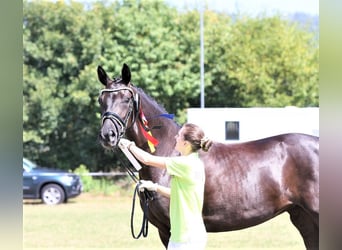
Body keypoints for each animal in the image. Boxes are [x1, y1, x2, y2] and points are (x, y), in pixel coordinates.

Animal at [95, 63, 318, 249]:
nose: (108, 135)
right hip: (303, 218)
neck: (169, 152)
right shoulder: (164, 231)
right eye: (101, 100)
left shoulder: (172, 229)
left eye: (126, 99)